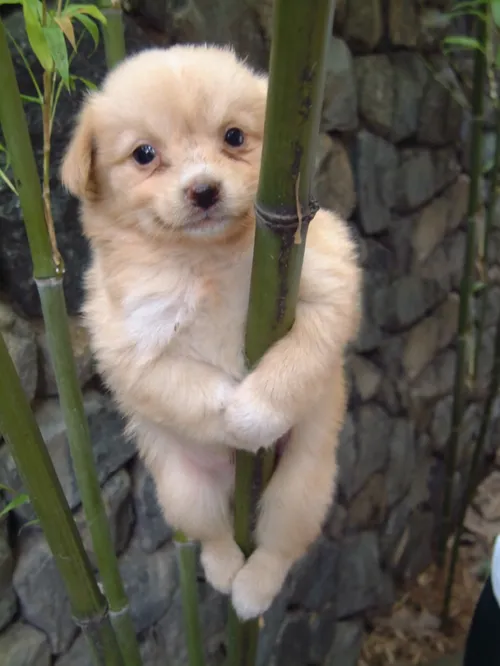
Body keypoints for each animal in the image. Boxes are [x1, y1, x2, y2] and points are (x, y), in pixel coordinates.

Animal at [60, 45, 362, 616]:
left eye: (234, 137)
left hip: (300, 488)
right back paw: (225, 572)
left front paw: (254, 412)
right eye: (144, 154)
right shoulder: (131, 348)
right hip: (186, 490)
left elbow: (296, 361)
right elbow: (191, 391)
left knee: (277, 547)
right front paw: (232, 416)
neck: (206, 259)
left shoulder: (326, 283)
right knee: (213, 534)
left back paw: (252, 592)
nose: (203, 190)